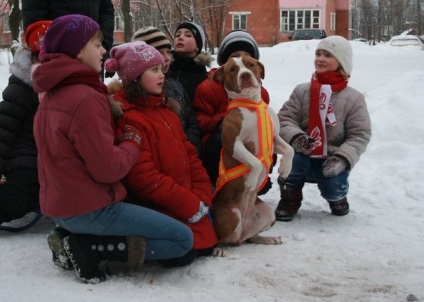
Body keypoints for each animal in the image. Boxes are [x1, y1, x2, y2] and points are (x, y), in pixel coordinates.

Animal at [210, 55, 294, 247]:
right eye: (232, 69)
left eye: (250, 64)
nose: (245, 75)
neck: (252, 104)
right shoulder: (234, 143)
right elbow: (255, 161)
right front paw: (251, 181)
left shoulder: (275, 138)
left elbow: (290, 149)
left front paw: (285, 168)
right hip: (232, 216)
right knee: (225, 239)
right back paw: (218, 249)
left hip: (268, 214)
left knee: (250, 237)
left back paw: (268, 238)